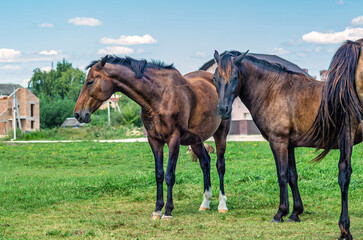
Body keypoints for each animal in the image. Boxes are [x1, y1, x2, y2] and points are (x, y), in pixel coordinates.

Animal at [74, 55, 230, 220]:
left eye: (90, 81)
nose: (78, 114)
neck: (159, 97)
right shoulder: (154, 141)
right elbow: (159, 175)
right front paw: (157, 210)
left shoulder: (173, 139)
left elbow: (169, 175)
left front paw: (167, 211)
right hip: (195, 140)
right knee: (205, 163)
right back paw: (205, 203)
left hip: (220, 134)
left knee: (220, 166)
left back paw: (222, 205)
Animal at [212, 44, 362, 238]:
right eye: (215, 78)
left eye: (235, 77)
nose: (222, 110)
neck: (274, 92)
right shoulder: (289, 145)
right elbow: (292, 176)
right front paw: (295, 212)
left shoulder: (278, 142)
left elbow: (282, 175)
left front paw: (280, 213)